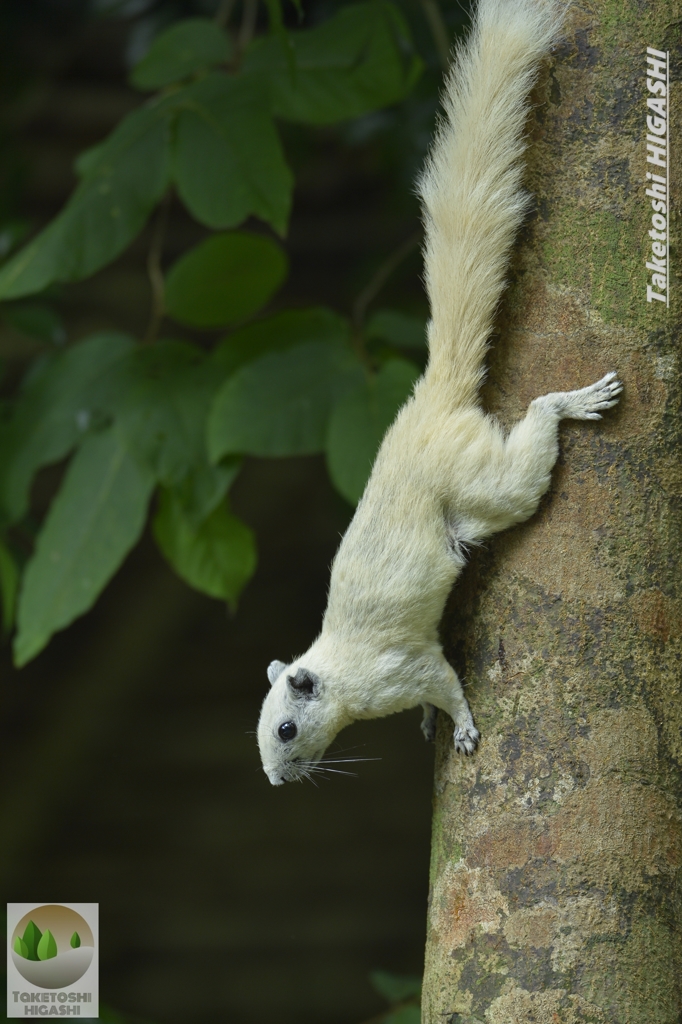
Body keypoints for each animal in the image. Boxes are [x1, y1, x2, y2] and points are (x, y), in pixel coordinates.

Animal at [258, 0, 618, 782]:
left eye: (288, 730)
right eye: (261, 734)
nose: (274, 779)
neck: (340, 672)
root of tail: (433, 399)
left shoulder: (403, 668)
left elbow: (447, 683)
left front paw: (461, 727)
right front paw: (428, 724)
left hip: (485, 488)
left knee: (529, 442)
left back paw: (572, 403)